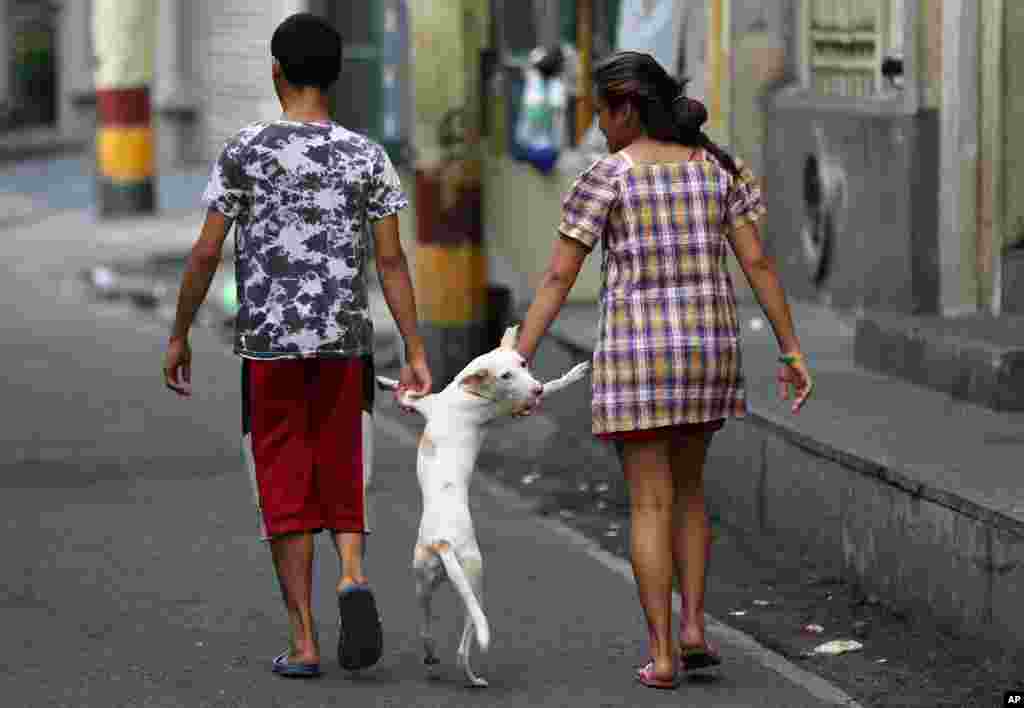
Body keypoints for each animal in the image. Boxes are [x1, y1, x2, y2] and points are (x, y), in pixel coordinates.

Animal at [376, 325, 589, 688]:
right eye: (506, 375)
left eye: (523, 363)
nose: (534, 387)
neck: (465, 391)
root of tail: (443, 542)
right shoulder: (502, 411)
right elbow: (554, 387)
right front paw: (570, 375)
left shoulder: (426, 404)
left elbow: (408, 396)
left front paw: (385, 380)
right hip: (475, 580)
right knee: (466, 640)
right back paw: (473, 676)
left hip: (422, 583)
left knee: (426, 627)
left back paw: (431, 655)